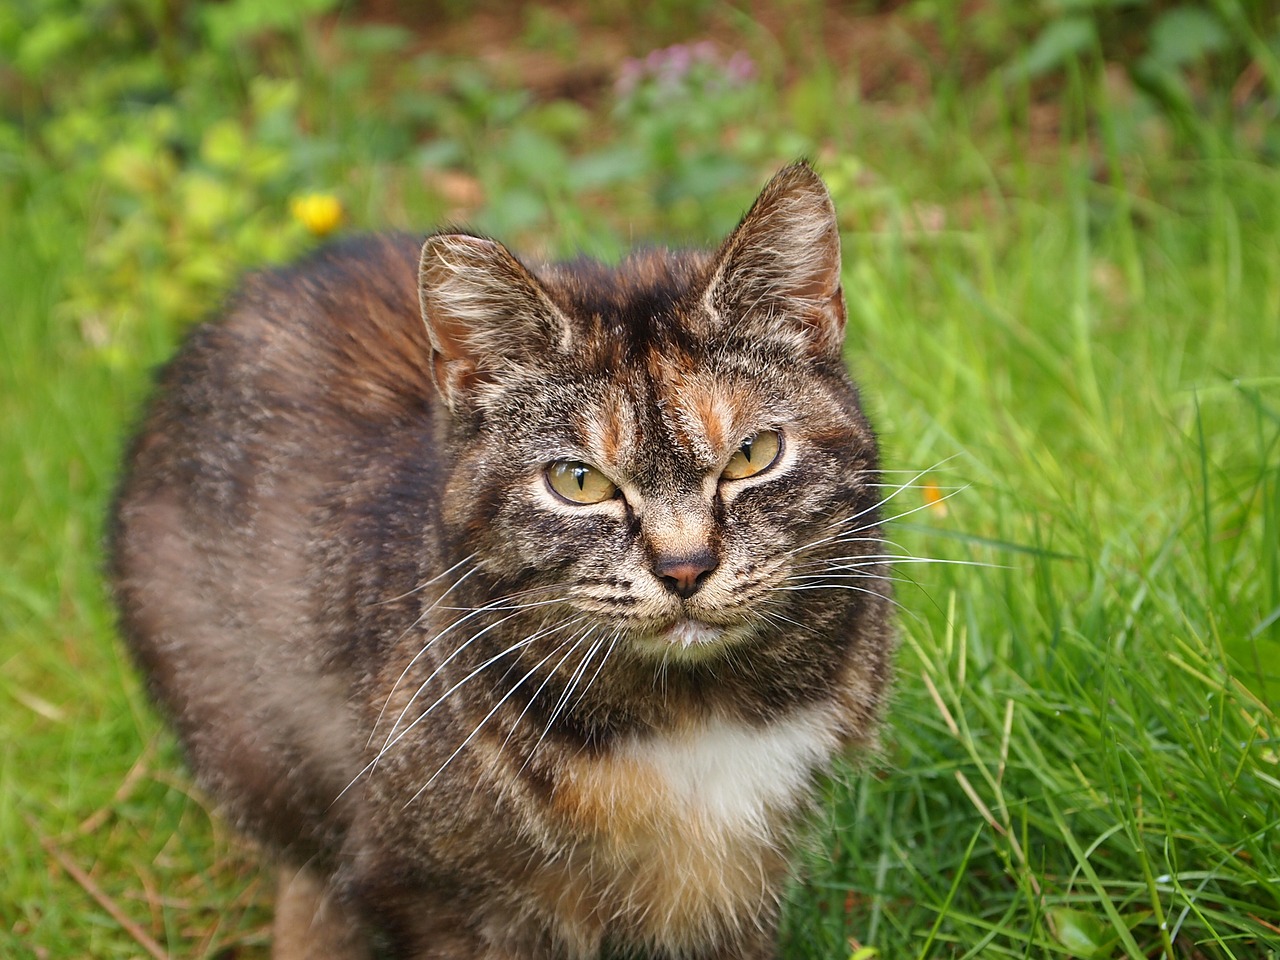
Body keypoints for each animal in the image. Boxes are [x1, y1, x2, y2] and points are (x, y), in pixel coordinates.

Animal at [107, 165, 890, 960]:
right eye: (578, 481)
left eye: (753, 455)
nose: (685, 568)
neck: (697, 715)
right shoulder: (441, 898)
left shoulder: (736, 894)